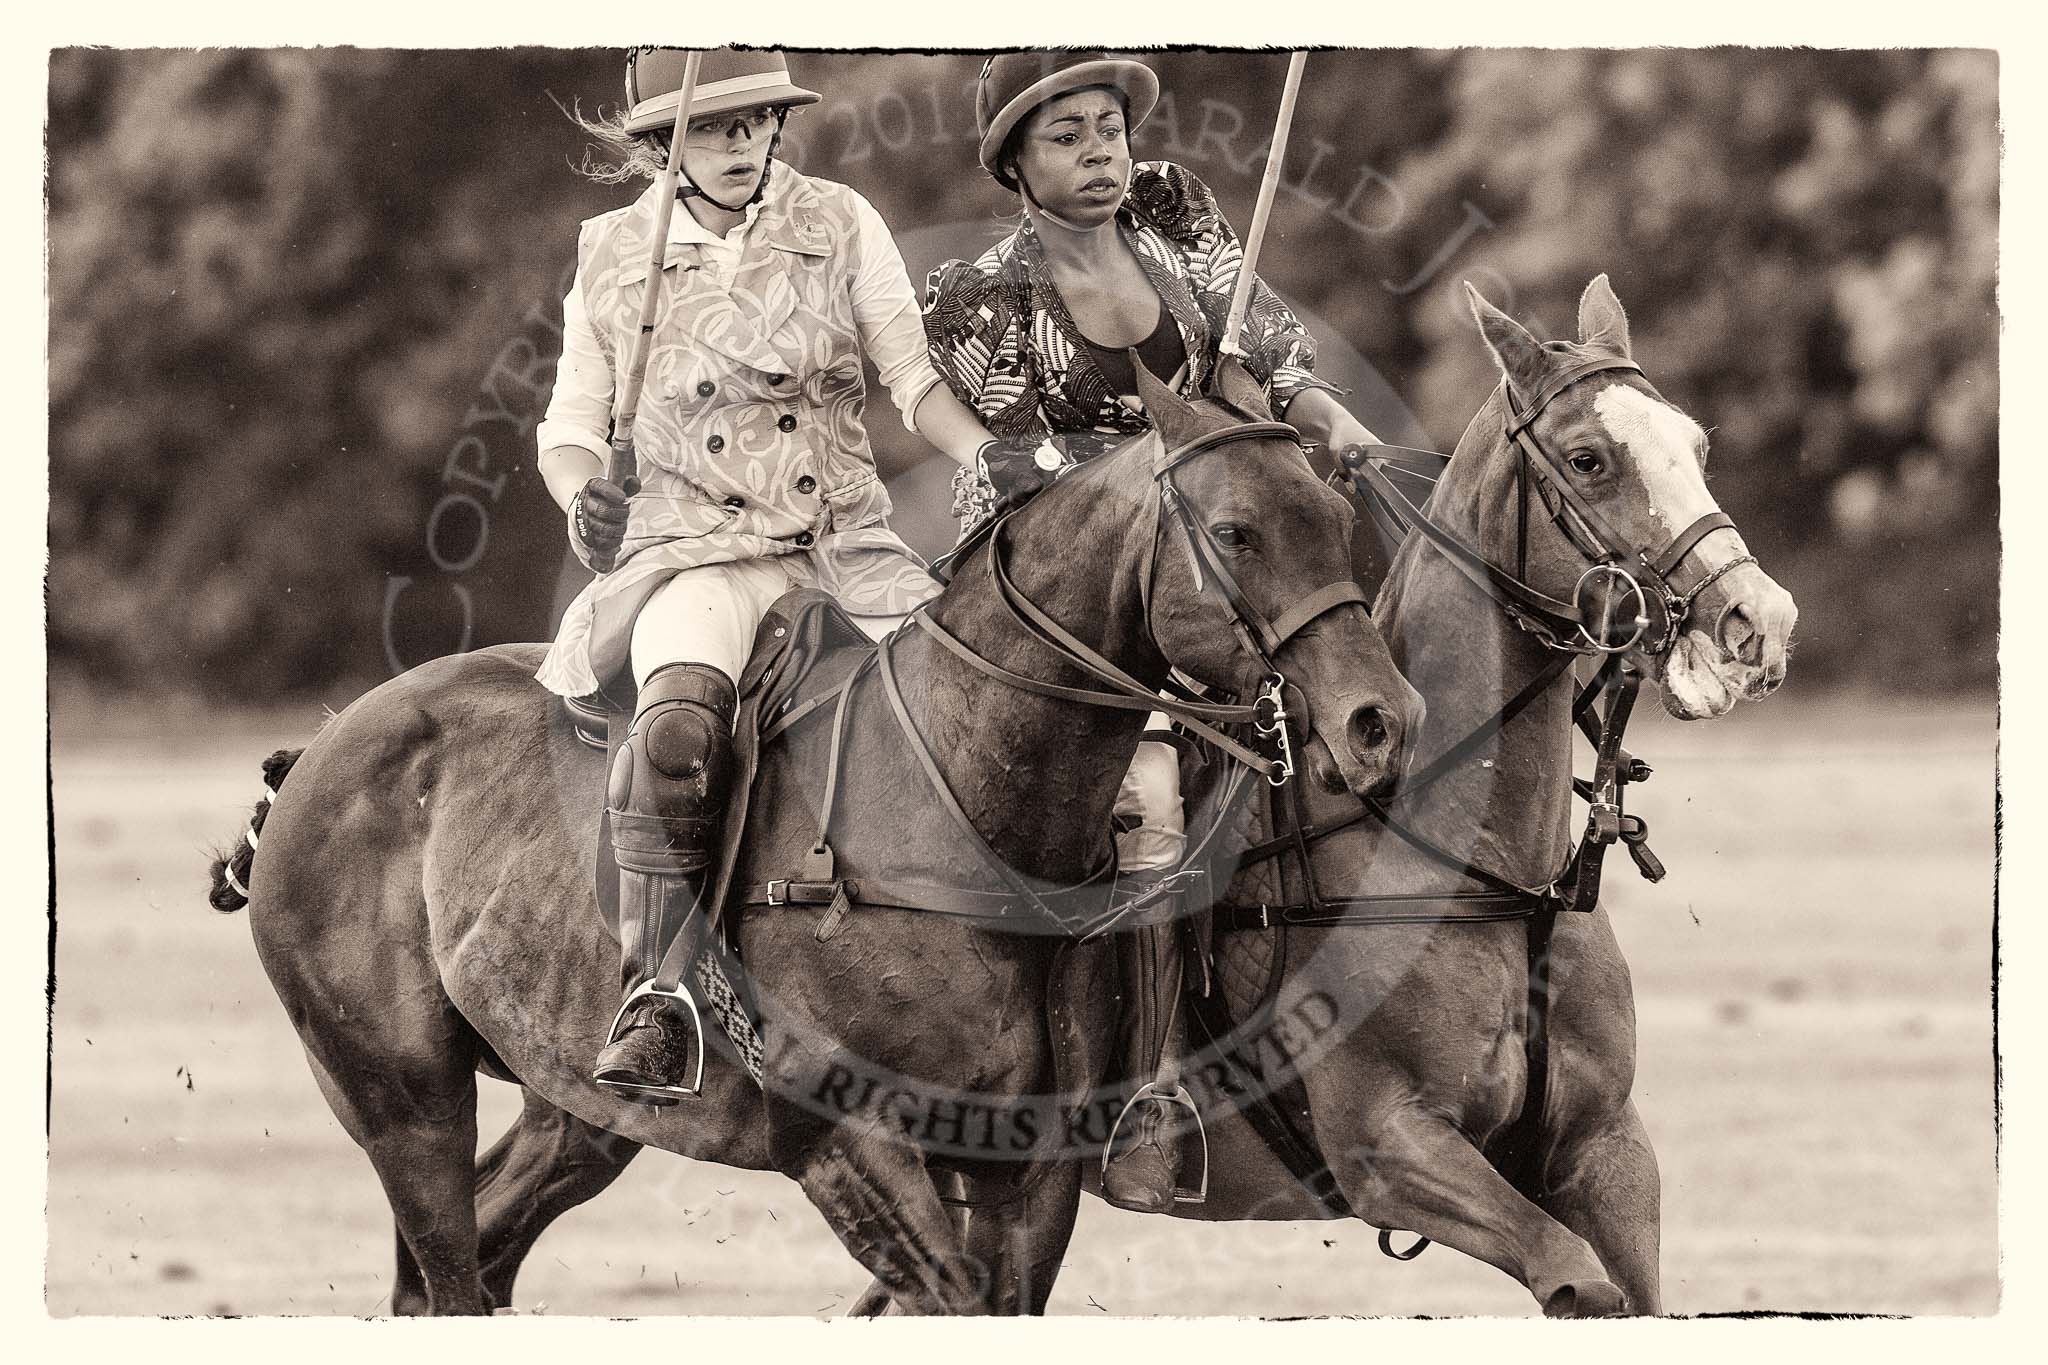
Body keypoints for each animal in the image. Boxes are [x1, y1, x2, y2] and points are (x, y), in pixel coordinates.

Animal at [211, 360, 1425, 1309]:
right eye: (1234, 531)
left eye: (1334, 516)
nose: (1380, 722)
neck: (969, 817)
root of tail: (312, 753)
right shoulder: (849, 1142)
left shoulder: (1026, 1168)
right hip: (400, 1092)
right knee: (448, 1264)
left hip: (574, 1106)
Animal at [372, 274, 1794, 1309]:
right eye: (1590, 459)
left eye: (1694, 442)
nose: (1755, 625)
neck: (1474, 869)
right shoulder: (1392, 1147)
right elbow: (1575, 1284)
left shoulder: (1604, 1152)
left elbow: (1624, 1280)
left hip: (584, 1105)